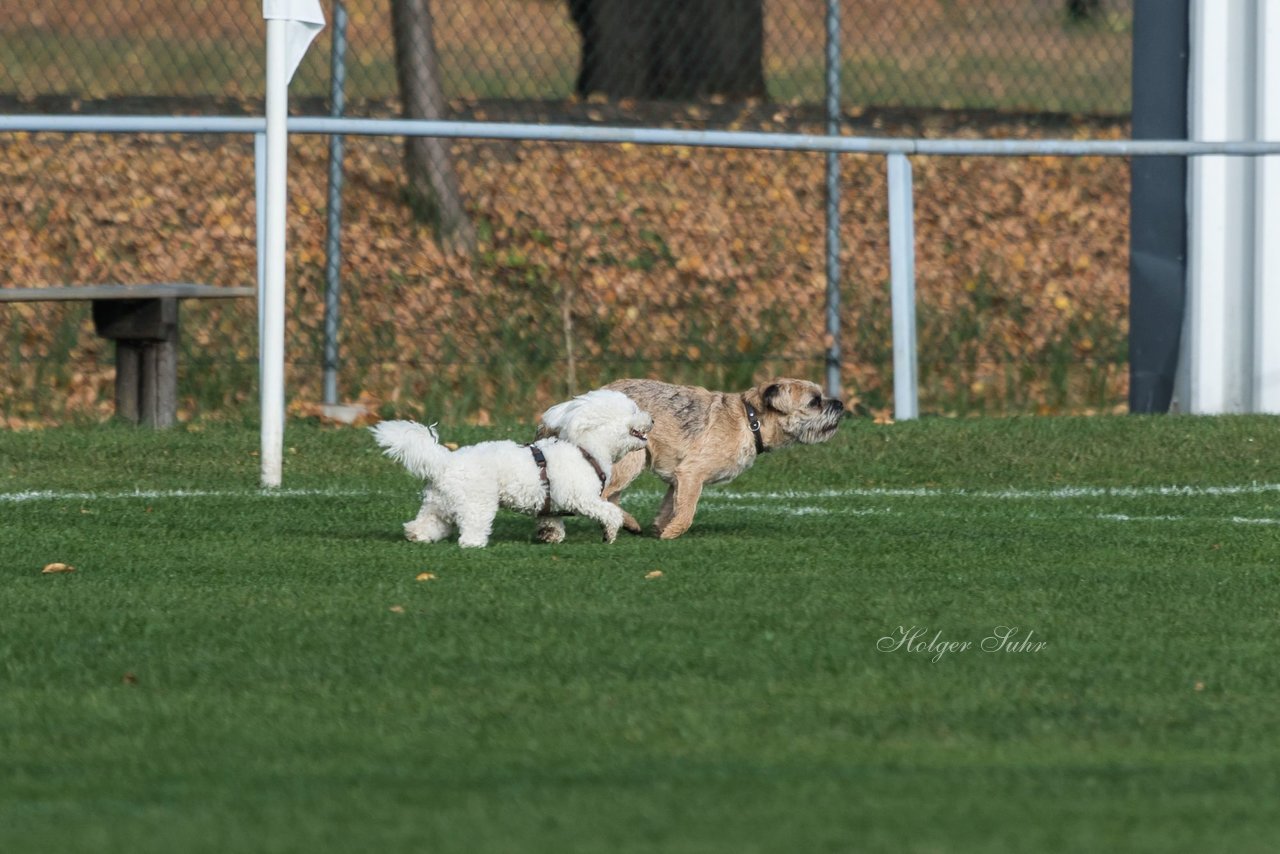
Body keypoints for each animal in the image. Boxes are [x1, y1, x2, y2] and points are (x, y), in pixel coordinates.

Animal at [371, 389, 650, 547]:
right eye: (634, 409)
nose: (652, 420)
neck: (586, 448)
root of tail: (445, 462)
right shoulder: (581, 498)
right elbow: (609, 512)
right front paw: (610, 534)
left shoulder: (551, 503)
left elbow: (551, 521)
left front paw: (550, 536)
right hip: (477, 503)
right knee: (471, 531)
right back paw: (474, 545)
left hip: (438, 504)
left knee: (424, 524)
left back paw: (417, 536)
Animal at [537, 381, 844, 540]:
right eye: (815, 401)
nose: (840, 403)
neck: (750, 420)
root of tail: (574, 407)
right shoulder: (692, 473)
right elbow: (686, 513)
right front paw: (671, 533)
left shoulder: (678, 478)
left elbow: (670, 505)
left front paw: (661, 527)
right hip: (630, 459)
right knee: (600, 496)